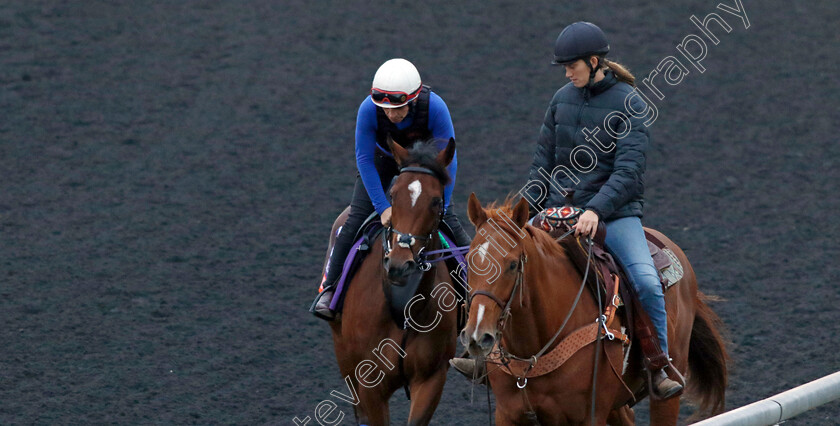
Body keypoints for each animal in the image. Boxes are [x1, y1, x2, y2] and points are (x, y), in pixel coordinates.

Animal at [328, 138, 460, 424]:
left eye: (436, 201)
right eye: (393, 195)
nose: (400, 265)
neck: (403, 306)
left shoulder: (432, 378)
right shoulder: (369, 382)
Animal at [460, 195, 728, 424]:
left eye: (513, 264)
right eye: (470, 261)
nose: (477, 336)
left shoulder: (589, 415)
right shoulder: (508, 414)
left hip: (668, 389)